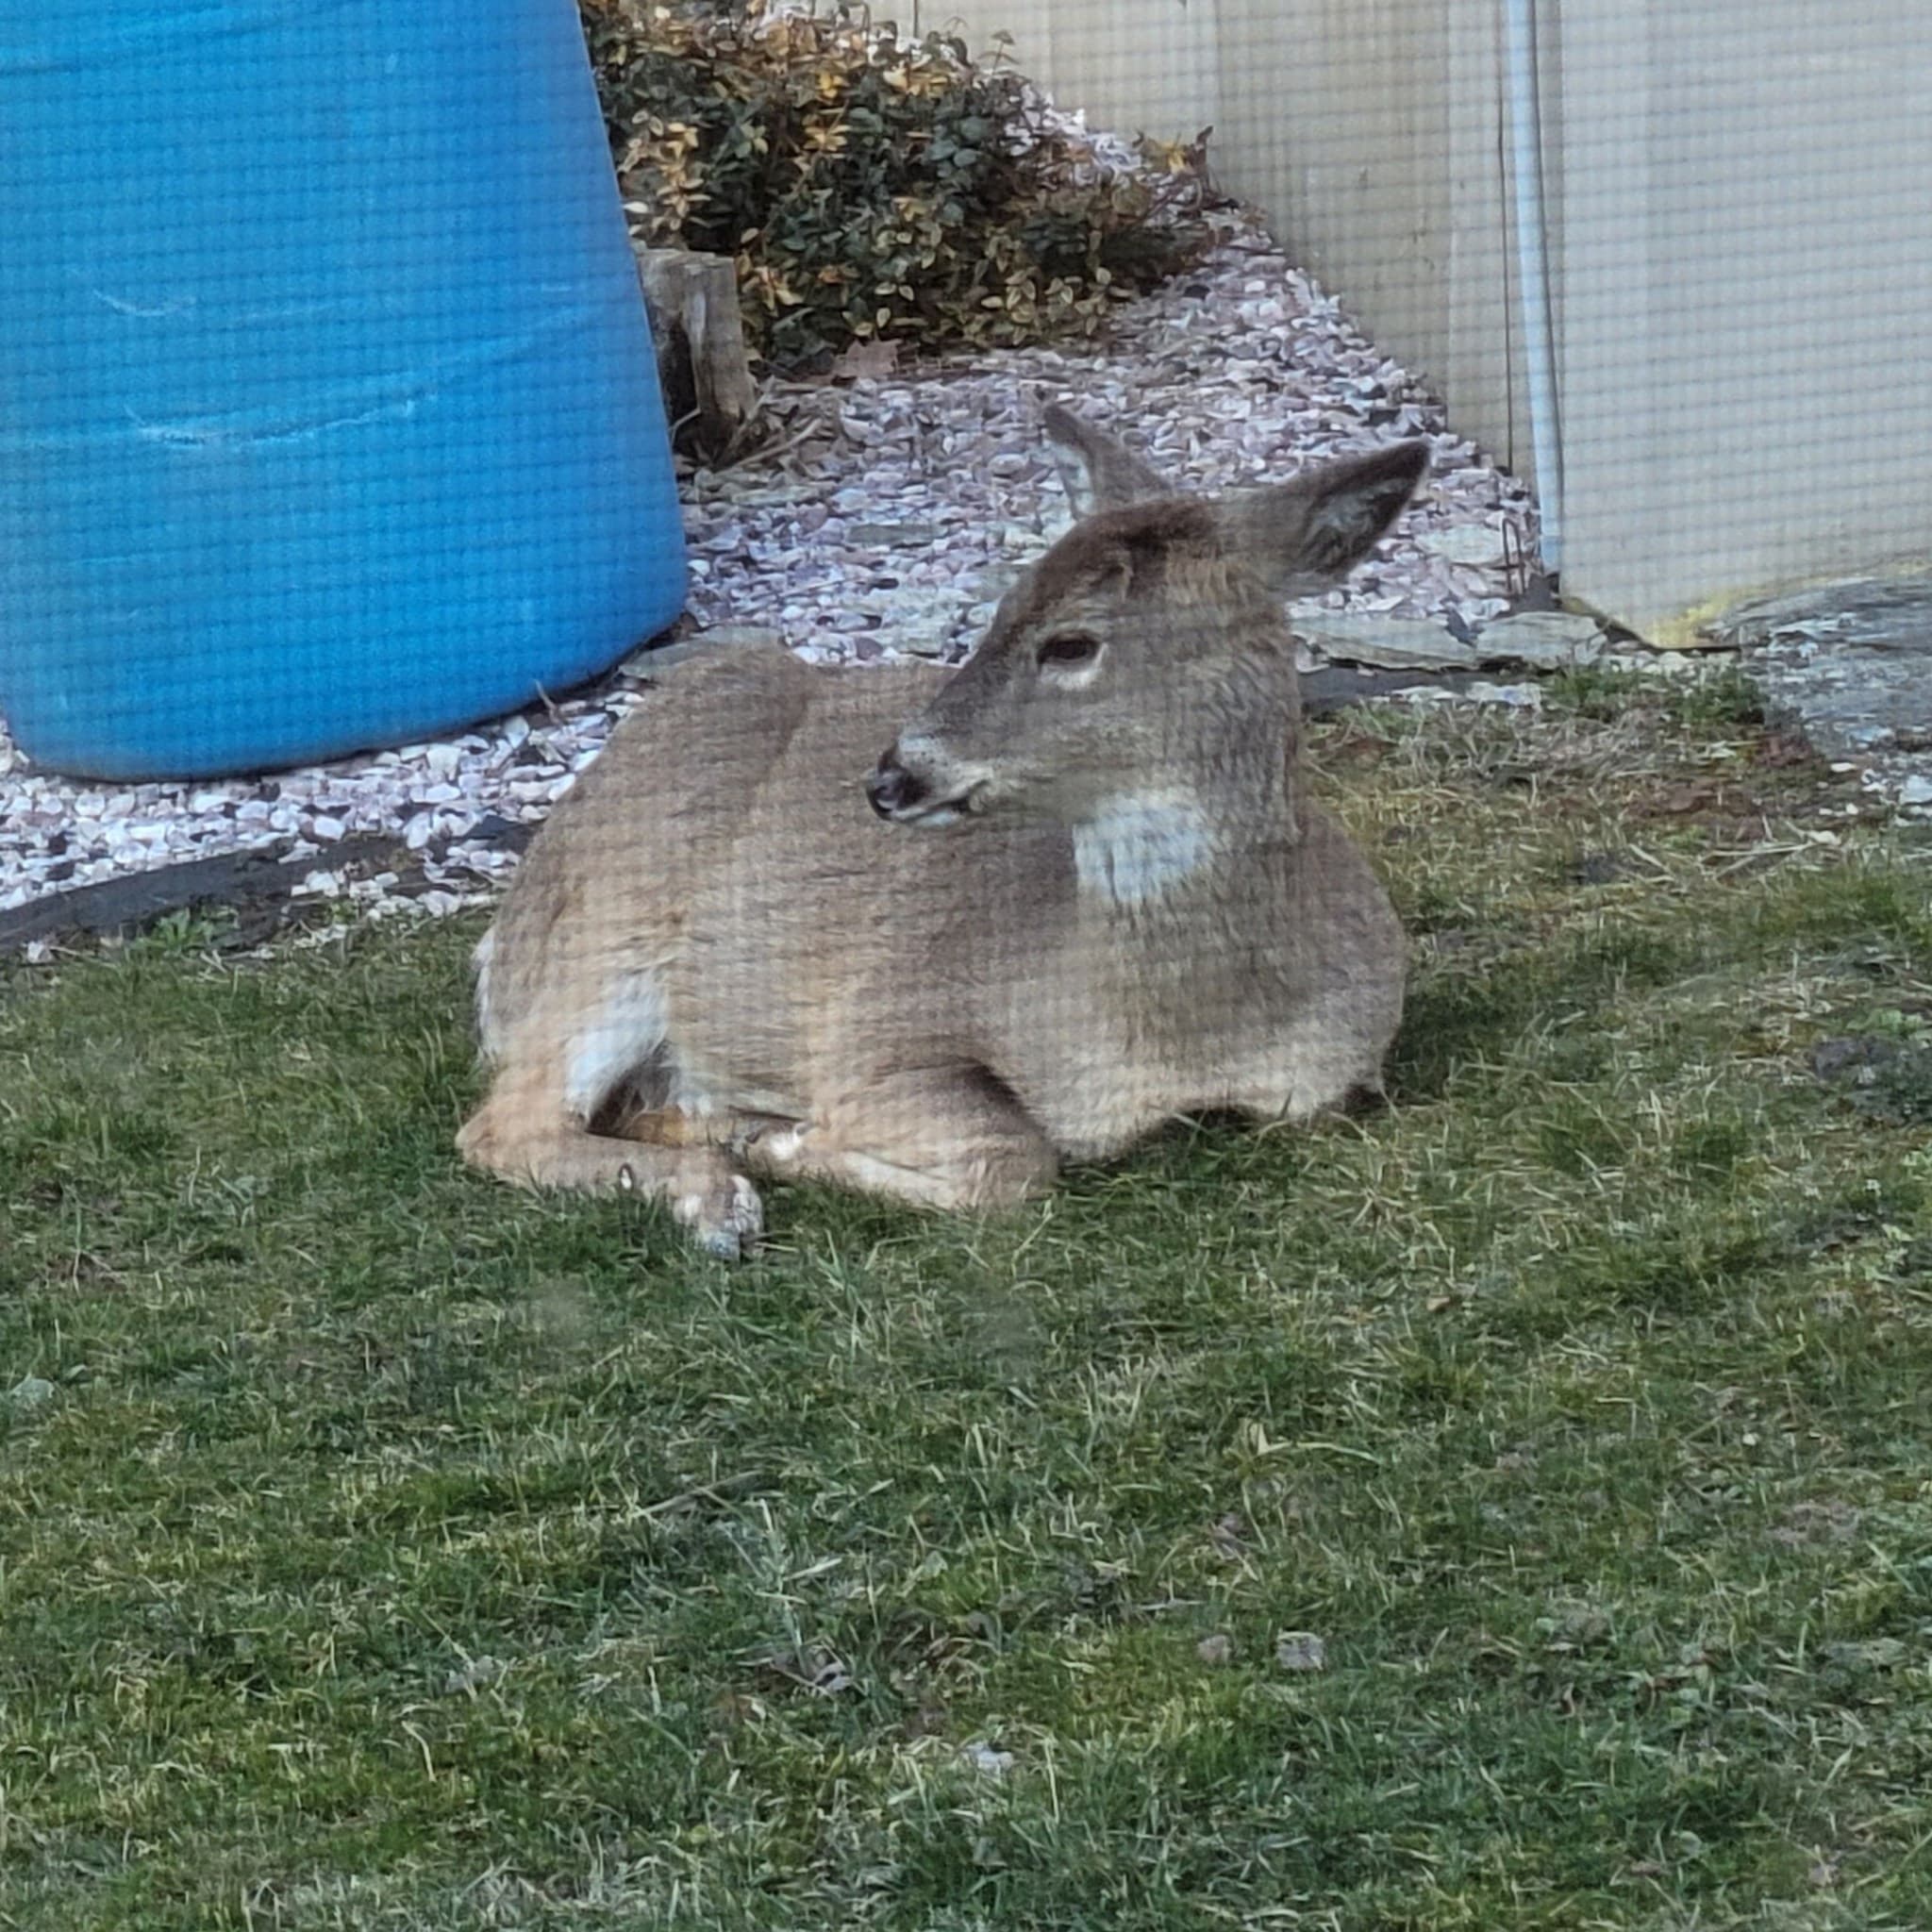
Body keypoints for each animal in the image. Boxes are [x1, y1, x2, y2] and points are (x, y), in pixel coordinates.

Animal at [456, 406, 1427, 1257]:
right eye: (1000, 608)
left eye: (1071, 644)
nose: (890, 777)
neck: (1177, 1041)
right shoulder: (876, 1027)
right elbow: (1016, 1157)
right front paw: (785, 1145)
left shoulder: (1331, 1078)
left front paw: (761, 1134)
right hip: (614, 918)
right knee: (504, 1123)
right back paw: (717, 1198)